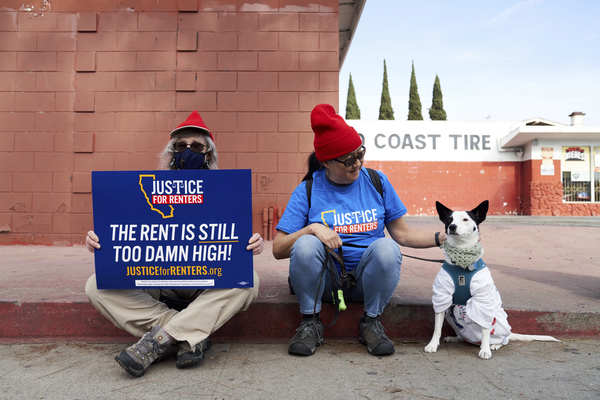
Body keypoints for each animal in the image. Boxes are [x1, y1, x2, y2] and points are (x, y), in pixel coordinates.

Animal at [424, 200, 560, 360]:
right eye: (449, 219)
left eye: (465, 219)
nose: (452, 226)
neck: (461, 263)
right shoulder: (442, 296)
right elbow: (437, 328)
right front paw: (433, 345)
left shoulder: (483, 300)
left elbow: (485, 330)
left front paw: (485, 350)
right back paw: (455, 338)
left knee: (502, 338)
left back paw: (495, 344)